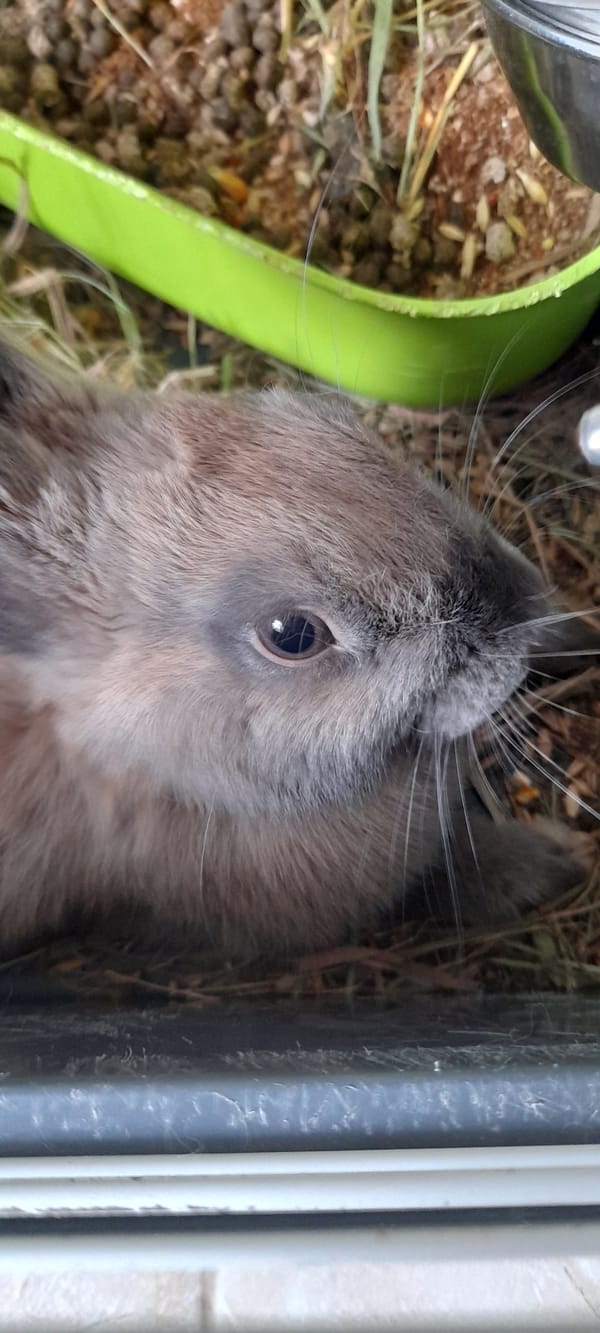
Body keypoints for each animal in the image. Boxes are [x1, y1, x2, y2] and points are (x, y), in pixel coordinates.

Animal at [0, 338, 596, 956]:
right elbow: (432, 881)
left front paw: (575, 631)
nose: (519, 601)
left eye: (330, 420)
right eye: (292, 635)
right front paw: (554, 861)